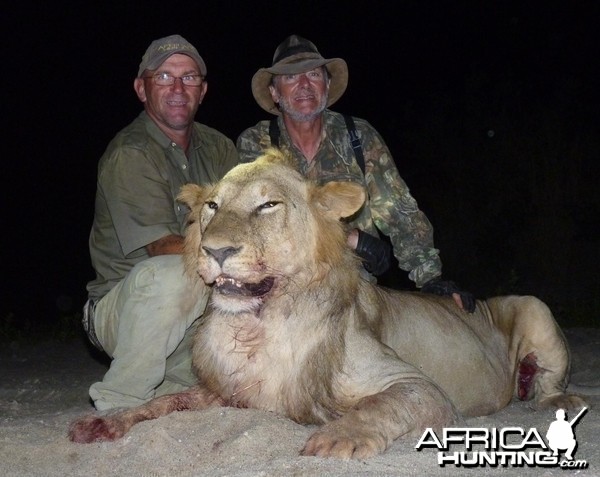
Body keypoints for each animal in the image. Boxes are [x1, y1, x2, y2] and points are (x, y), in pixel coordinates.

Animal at [68, 148, 588, 458]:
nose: (215, 250)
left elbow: (381, 406)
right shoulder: (227, 391)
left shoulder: (419, 386)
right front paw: (108, 422)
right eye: (213, 207)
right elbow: (166, 401)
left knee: (551, 382)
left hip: (536, 306)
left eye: (268, 205)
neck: (256, 325)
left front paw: (338, 437)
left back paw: (555, 398)